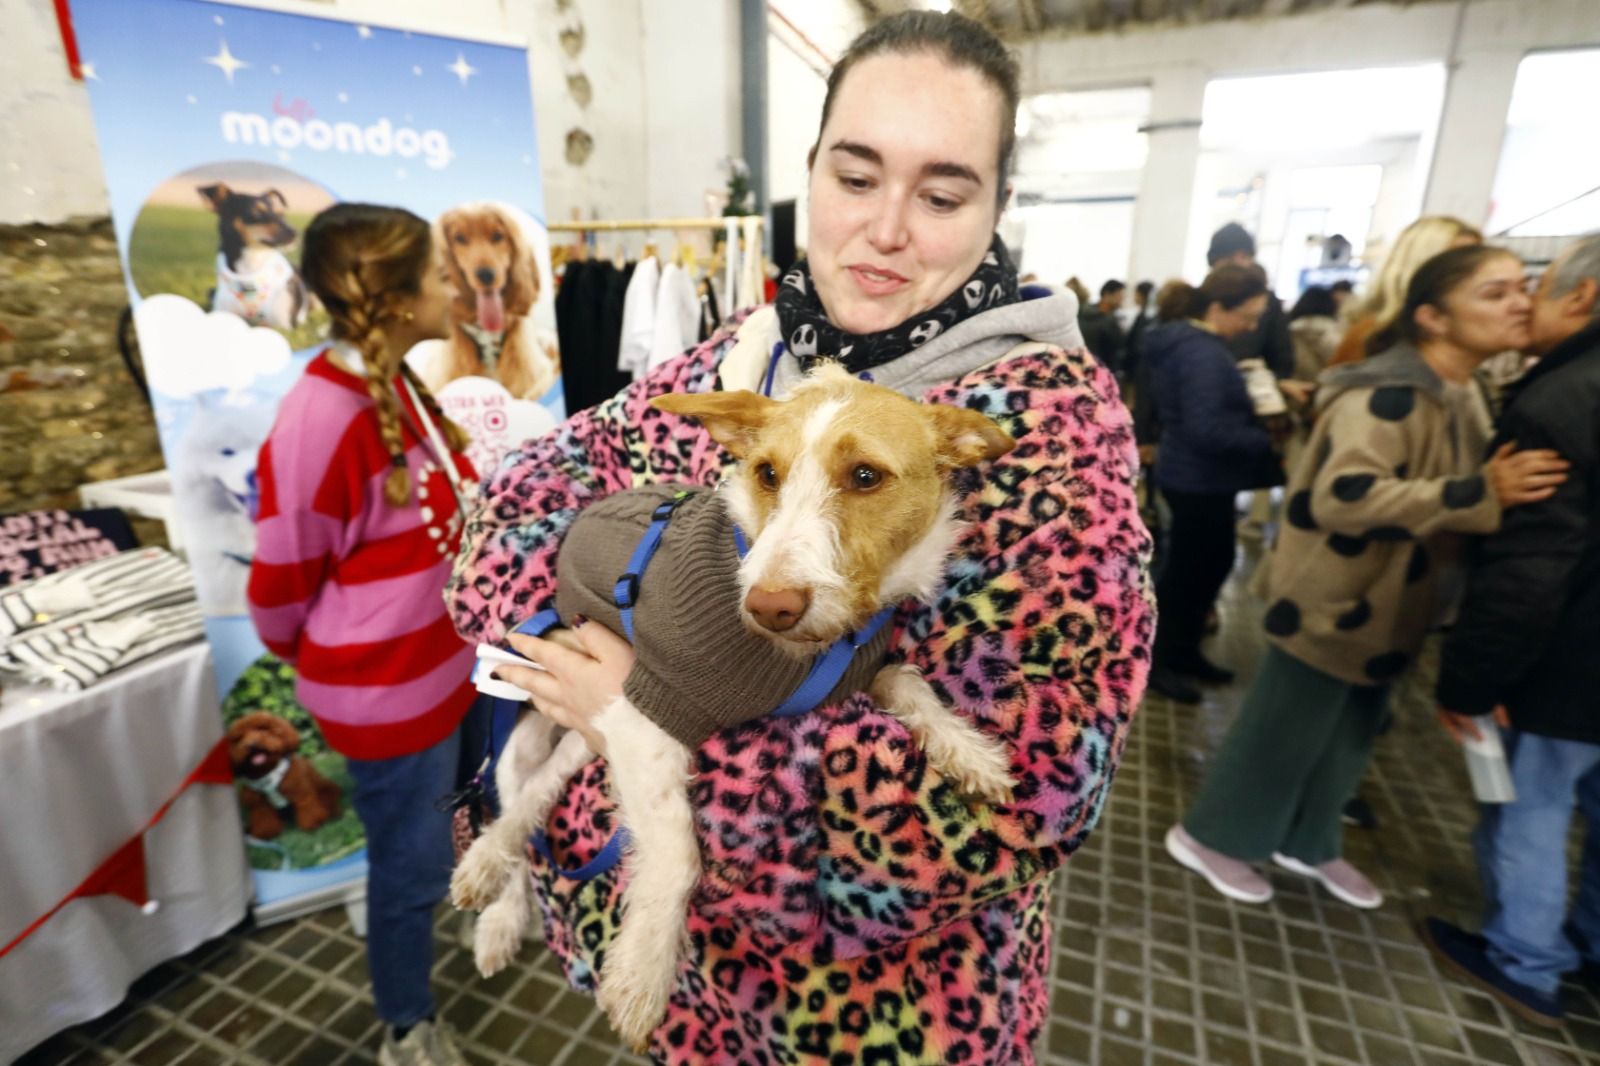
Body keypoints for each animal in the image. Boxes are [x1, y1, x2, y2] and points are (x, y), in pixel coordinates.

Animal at [451, 364, 1017, 1043]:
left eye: (865, 476)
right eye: (766, 472)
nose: (767, 606)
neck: (808, 650)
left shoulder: (850, 673)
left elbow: (909, 683)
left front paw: (969, 750)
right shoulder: (646, 712)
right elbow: (676, 850)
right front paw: (643, 970)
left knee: (543, 790)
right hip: (525, 723)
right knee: (517, 803)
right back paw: (493, 897)